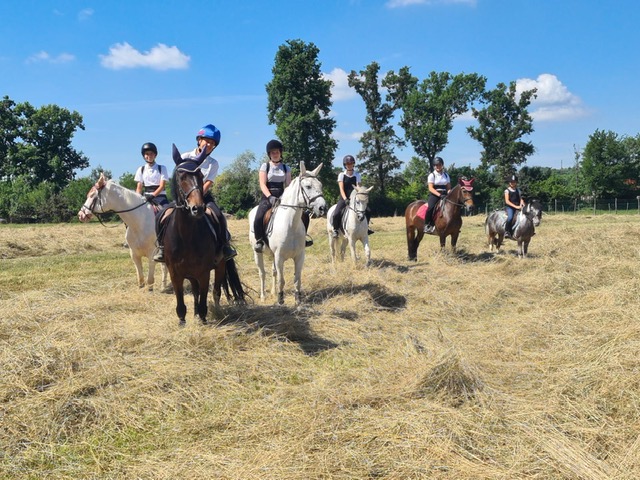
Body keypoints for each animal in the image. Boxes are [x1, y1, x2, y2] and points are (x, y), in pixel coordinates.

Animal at [162, 144, 245, 326]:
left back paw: (217, 311)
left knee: (216, 292)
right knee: (195, 291)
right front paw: (183, 321)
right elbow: (182, 300)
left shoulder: (204, 272)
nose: (197, 208)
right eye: (181, 176)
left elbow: (204, 297)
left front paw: (203, 318)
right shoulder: (175, 273)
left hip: (220, 266)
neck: (185, 235)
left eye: (200, 176)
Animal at [248, 161, 328, 304]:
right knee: (262, 273)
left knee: (273, 271)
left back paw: (273, 292)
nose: (323, 208)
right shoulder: (279, 257)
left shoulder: (299, 256)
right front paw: (280, 300)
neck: (291, 225)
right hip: (257, 252)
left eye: (320, 185)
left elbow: (297, 279)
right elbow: (282, 280)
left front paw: (298, 300)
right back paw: (263, 296)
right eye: (308, 186)